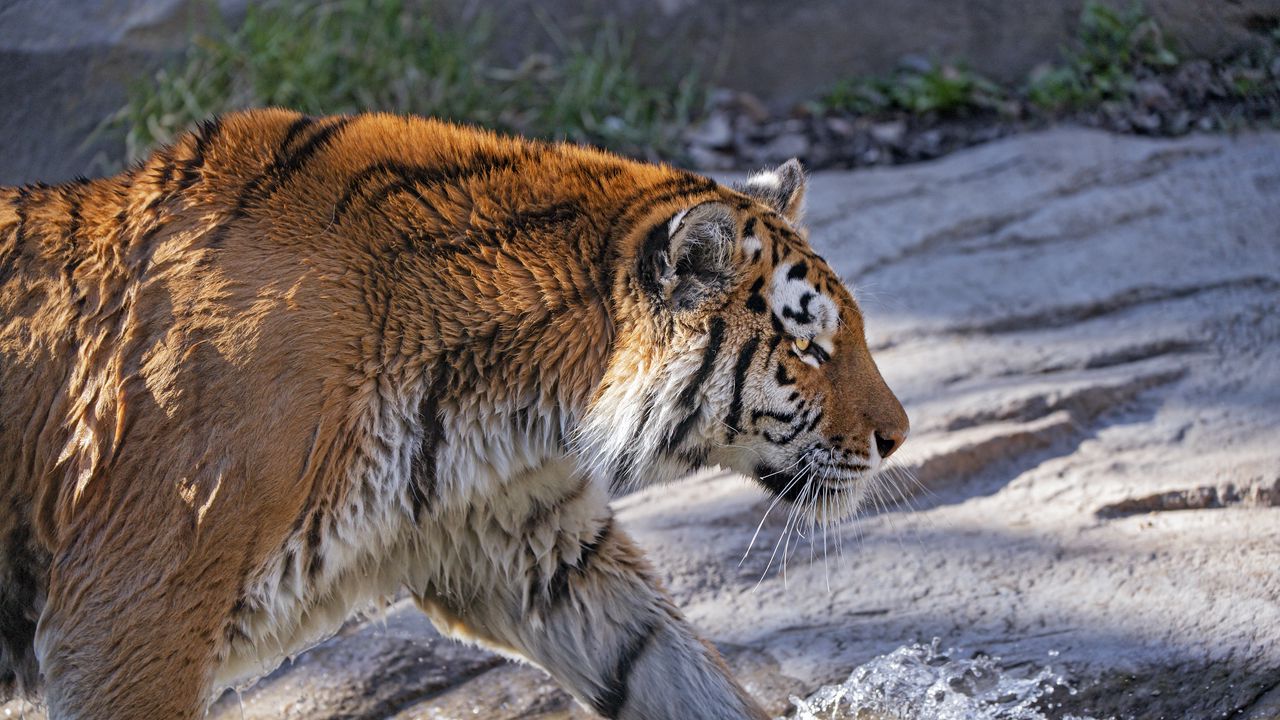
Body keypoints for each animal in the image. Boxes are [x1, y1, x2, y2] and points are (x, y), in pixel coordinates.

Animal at [0, 108, 909, 720]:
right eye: (809, 348)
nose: (897, 438)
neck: (514, 398)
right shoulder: (130, 614)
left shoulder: (532, 540)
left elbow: (675, 667)